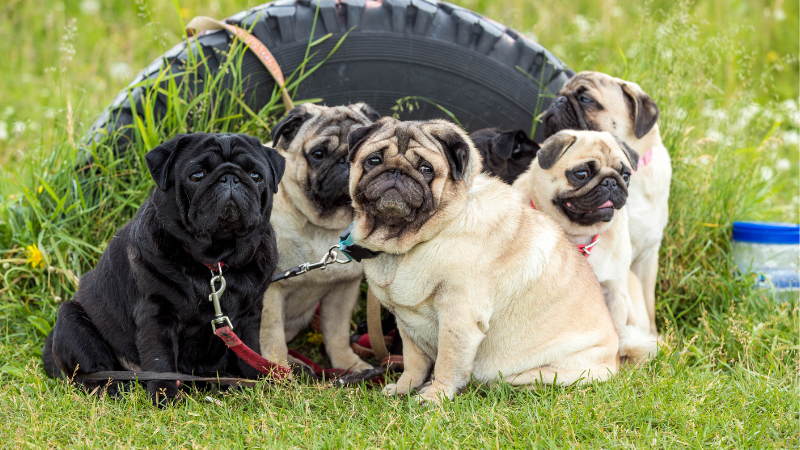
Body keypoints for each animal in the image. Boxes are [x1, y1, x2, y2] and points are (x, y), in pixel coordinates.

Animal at [42, 134, 284, 404]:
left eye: (256, 176)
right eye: (196, 176)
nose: (230, 177)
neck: (216, 262)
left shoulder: (248, 315)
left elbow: (249, 351)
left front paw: (256, 383)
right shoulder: (157, 312)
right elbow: (160, 360)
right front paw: (164, 394)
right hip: (70, 319)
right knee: (89, 373)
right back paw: (112, 389)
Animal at [258, 103, 380, 370]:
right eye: (318, 154)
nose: (347, 160)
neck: (322, 226)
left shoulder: (343, 290)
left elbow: (337, 333)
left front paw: (349, 365)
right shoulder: (270, 293)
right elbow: (272, 337)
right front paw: (278, 370)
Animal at [346, 118, 620, 402]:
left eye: (426, 169)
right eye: (373, 161)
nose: (396, 172)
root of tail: (614, 362)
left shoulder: (458, 318)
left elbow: (447, 362)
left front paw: (435, 396)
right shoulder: (407, 325)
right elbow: (413, 362)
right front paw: (404, 388)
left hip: (540, 373)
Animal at [516, 130, 660, 362]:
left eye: (626, 176)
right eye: (581, 174)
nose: (611, 182)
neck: (579, 238)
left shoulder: (615, 294)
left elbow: (615, 334)